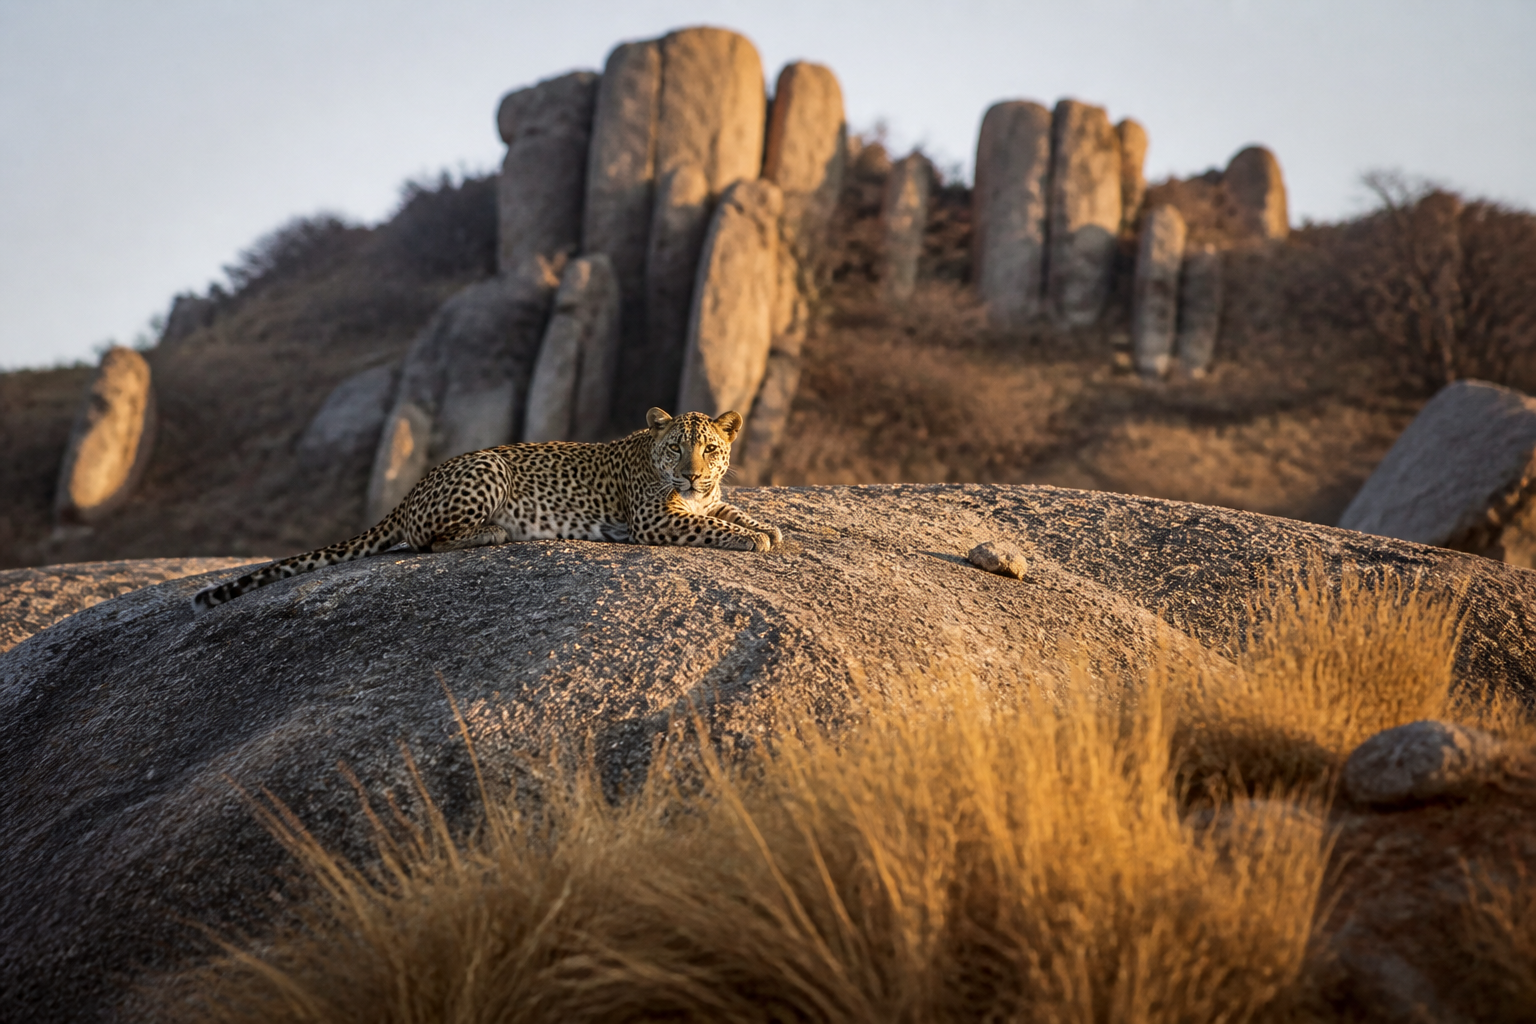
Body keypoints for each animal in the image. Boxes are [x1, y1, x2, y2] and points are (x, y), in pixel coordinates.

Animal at [191, 407, 782, 613]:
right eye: (676, 448)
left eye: (710, 449)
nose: (693, 474)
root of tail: (412, 488)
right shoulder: (655, 519)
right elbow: (709, 527)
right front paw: (752, 539)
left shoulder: (708, 500)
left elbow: (730, 514)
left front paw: (768, 528)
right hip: (489, 468)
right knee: (426, 541)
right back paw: (494, 533)